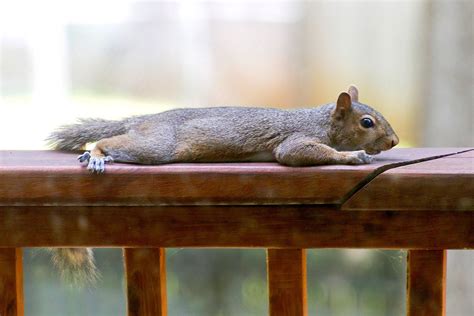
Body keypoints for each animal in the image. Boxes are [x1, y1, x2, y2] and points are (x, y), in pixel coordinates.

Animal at [48, 85, 398, 286]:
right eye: (367, 123)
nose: (394, 141)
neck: (322, 122)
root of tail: (143, 120)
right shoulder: (297, 140)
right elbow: (297, 153)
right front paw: (354, 156)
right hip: (156, 147)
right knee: (109, 142)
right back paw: (96, 155)